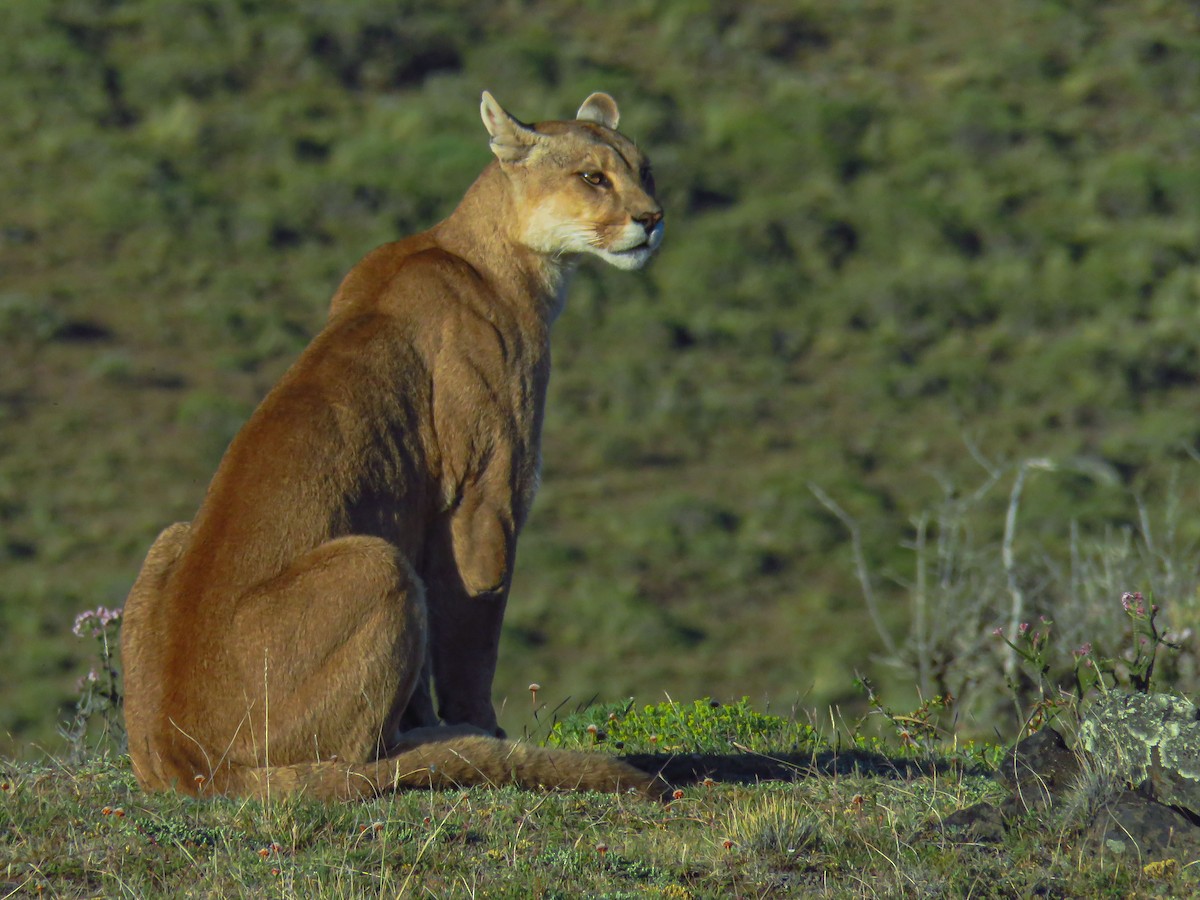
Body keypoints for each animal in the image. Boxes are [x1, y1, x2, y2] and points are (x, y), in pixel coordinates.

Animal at [120, 91, 666, 801]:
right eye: (593, 177)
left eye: (645, 171)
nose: (652, 219)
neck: (505, 254)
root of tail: (188, 762)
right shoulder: (486, 498)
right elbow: (472, 636)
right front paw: (481, 729)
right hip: (376, 562)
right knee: (357, 757)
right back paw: (442, 748)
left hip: (172, 537)